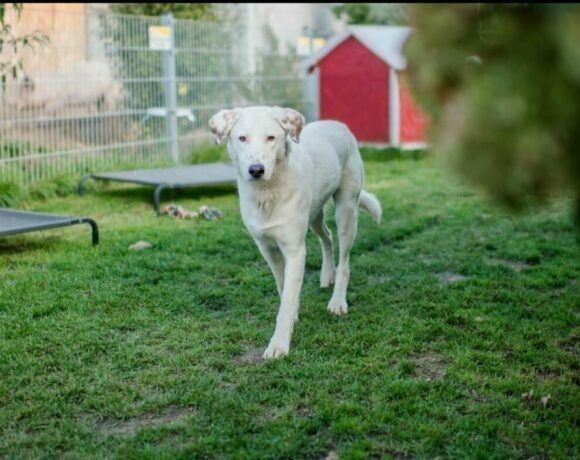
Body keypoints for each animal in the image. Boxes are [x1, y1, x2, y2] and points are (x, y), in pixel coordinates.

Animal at [208, 106, 380, 358]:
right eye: (242, 138)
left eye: (271, 138)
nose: (256, 170)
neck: (267, 194)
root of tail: (338, 124)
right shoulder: (267, 248)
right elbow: (283, 287)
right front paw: (294, 313)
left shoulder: (295, 250)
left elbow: (287, 298)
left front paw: (279, 344)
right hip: (314, 213)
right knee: (326, 236)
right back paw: (326, 275)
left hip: (346, 211)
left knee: (344, 261)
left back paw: (337, 300)